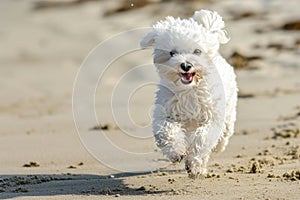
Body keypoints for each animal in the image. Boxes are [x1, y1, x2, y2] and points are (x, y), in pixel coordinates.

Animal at [141, 9, 237, 178]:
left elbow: (202, 139)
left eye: (197, 51)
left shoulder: (212, 118)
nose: (186, 65)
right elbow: (167, 131)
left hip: (229, 110)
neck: (189, 90)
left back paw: (214, 151)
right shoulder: (165, 112)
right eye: (172, 53)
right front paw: (177, 152)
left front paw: (193, 164)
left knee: (225, 131)